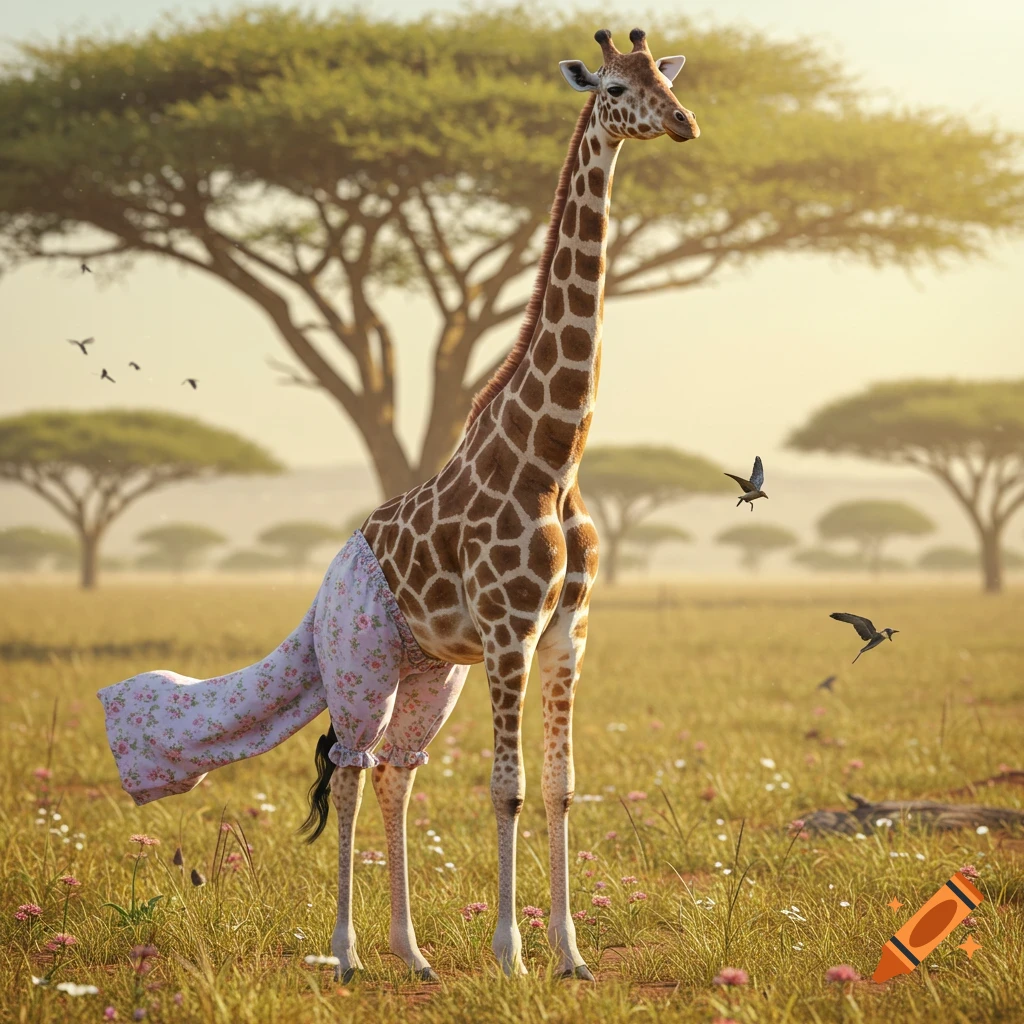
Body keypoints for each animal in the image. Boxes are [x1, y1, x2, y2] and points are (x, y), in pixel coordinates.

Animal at [314, 26, 701, 982]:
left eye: (664, 75)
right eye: (611, 87)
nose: (683, 122)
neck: (553, 455)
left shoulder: (569, 630)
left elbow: (561, 787)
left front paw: (571, 954)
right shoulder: (507, 631)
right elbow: (508, 788)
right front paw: (511, 955)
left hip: (427, 666)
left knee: (396, 771)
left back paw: (412, 955)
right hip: (361, 654)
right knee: (352, 765)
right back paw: (344, 954)